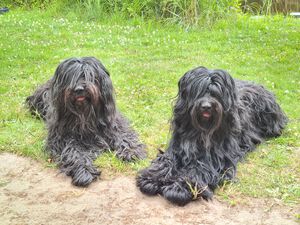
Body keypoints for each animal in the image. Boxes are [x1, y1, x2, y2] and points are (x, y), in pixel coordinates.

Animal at [26, 56, 146, 186]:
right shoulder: (62, 138)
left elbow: (123, 137)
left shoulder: (114, 123)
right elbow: (74, 152)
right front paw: (84, 171)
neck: (85, 115)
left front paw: (131, 152)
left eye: (89, 75)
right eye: (71, 76)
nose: (79, 89)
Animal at [137, 66, 288, 206]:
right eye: (199, 91)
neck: (201, 131)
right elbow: (166, 161)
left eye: (216, 93)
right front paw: (151, 178)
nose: (206, 106)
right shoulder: (176, 148)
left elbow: (198, 171)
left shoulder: (216, 158)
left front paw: (180, 189)